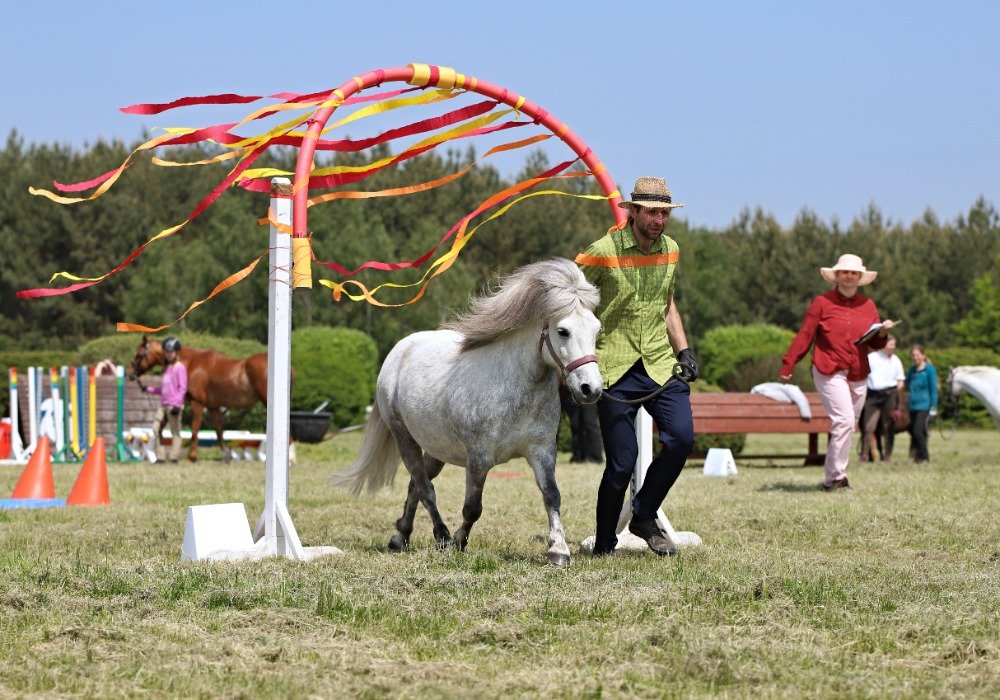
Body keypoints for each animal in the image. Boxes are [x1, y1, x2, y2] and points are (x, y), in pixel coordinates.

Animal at [125, 336, 274, 462]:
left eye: (138, 355)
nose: (129, 372)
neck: (191, 363)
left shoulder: (197, 403)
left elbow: (195, 429)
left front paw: (192, 456)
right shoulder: (213, 407)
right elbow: (219, 430)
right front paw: (225, 455)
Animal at [336, 260, 600, 568]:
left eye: (596, 329)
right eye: (563, 331)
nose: (590, 389)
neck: (515, 387)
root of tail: (399, 350)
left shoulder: (542, 451)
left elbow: (552, 496)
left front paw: (558, 550)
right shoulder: (479, 458)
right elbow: (472, 508)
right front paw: (458, 542)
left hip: (436, 449)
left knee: (416, 485)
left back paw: (401, 536)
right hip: (404, 438)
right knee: (424, 488)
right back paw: (441, 537)